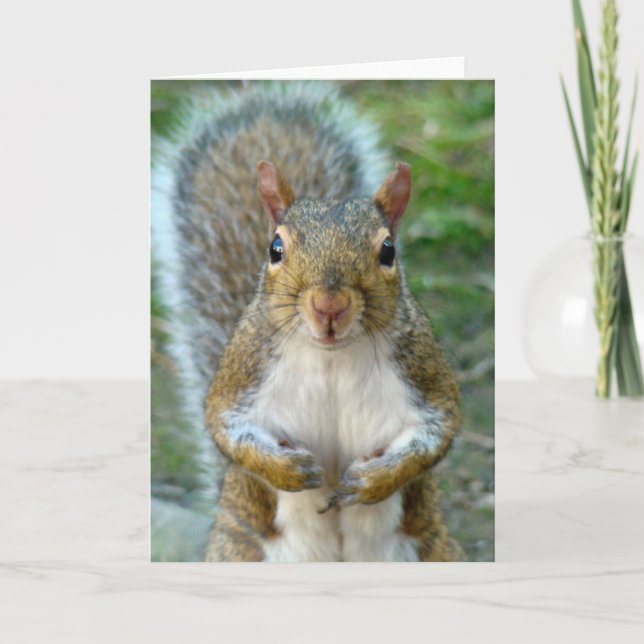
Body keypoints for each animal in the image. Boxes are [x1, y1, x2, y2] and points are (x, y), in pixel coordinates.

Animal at [153, 82, 462, 562]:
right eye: (275, 248)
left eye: (388, 250)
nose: (328, 305)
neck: (331, 356)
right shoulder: (243, 370)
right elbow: (224, 425)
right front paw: (288, 471)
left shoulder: (423, 371)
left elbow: (438, 431)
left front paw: (373, 480)